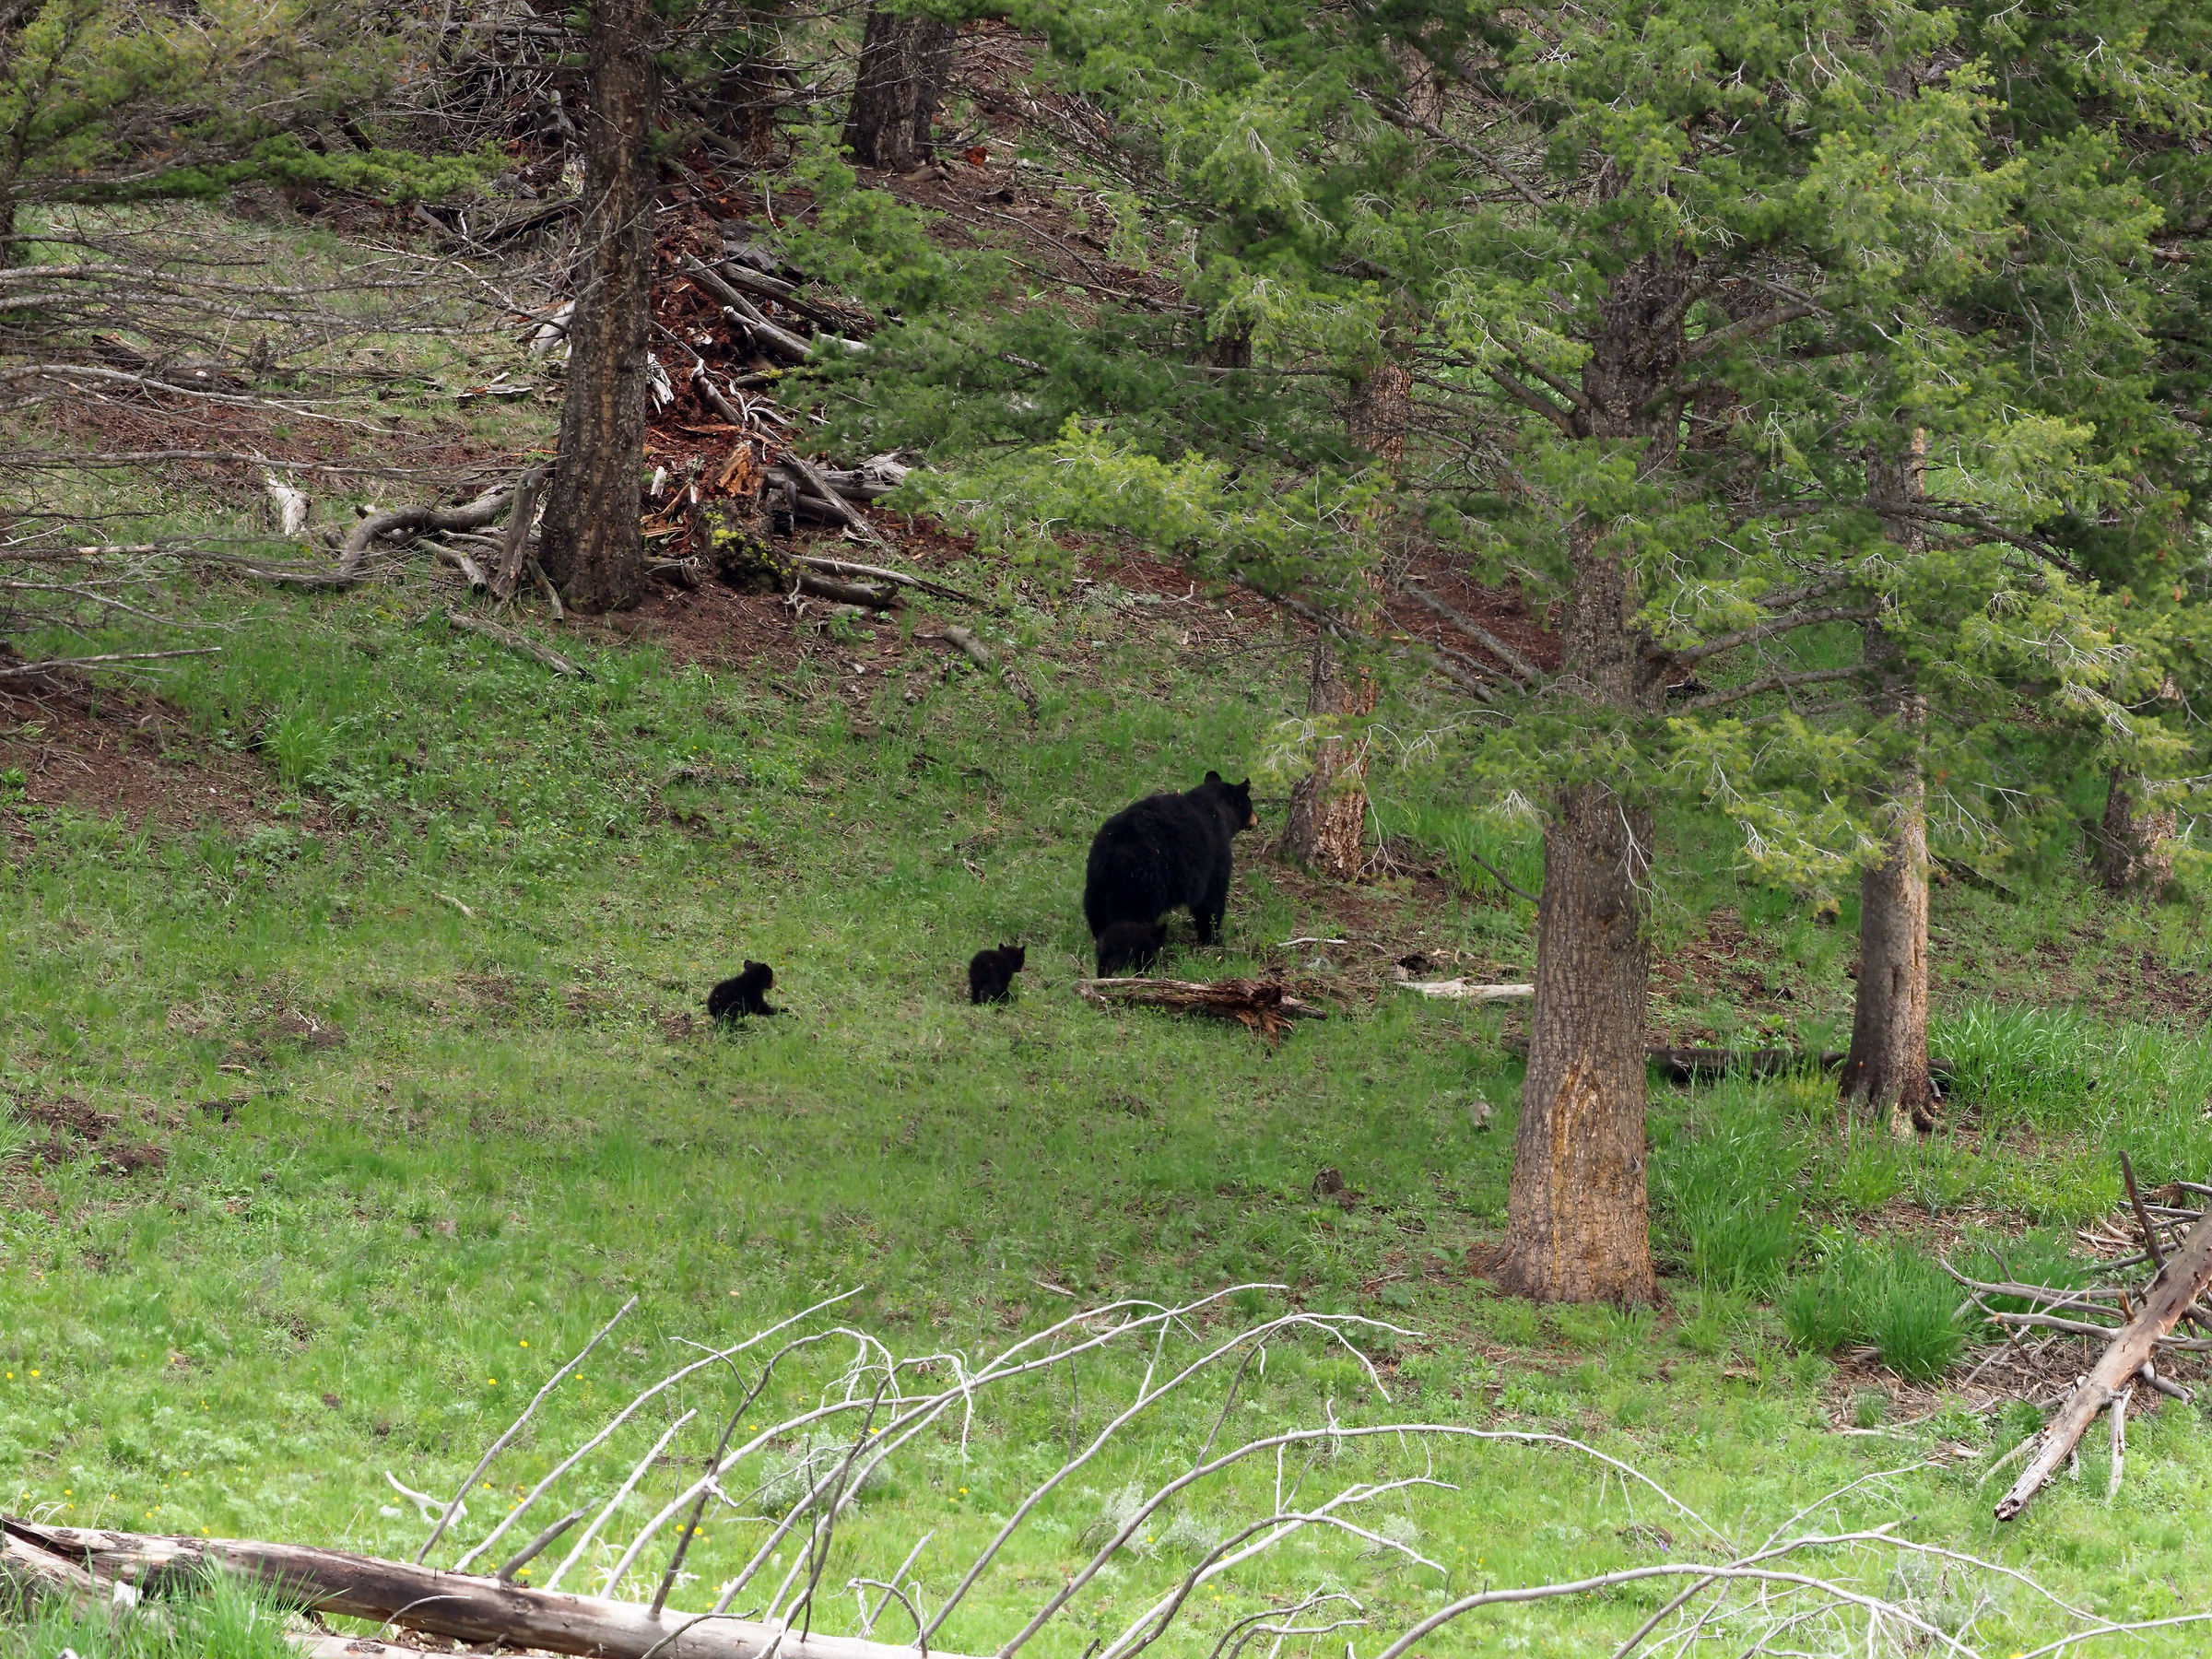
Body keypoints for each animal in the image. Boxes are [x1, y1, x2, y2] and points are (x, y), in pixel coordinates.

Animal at [1083, 771, 1257, 947]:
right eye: (1251, 805)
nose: (1258, 819)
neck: (1218, 809)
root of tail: (1115, 845)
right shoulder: (1216, 854)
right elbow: (1212, 898)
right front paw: (1210, 938)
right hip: (1141, 881)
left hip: (1097, 879)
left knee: (1097, 913)